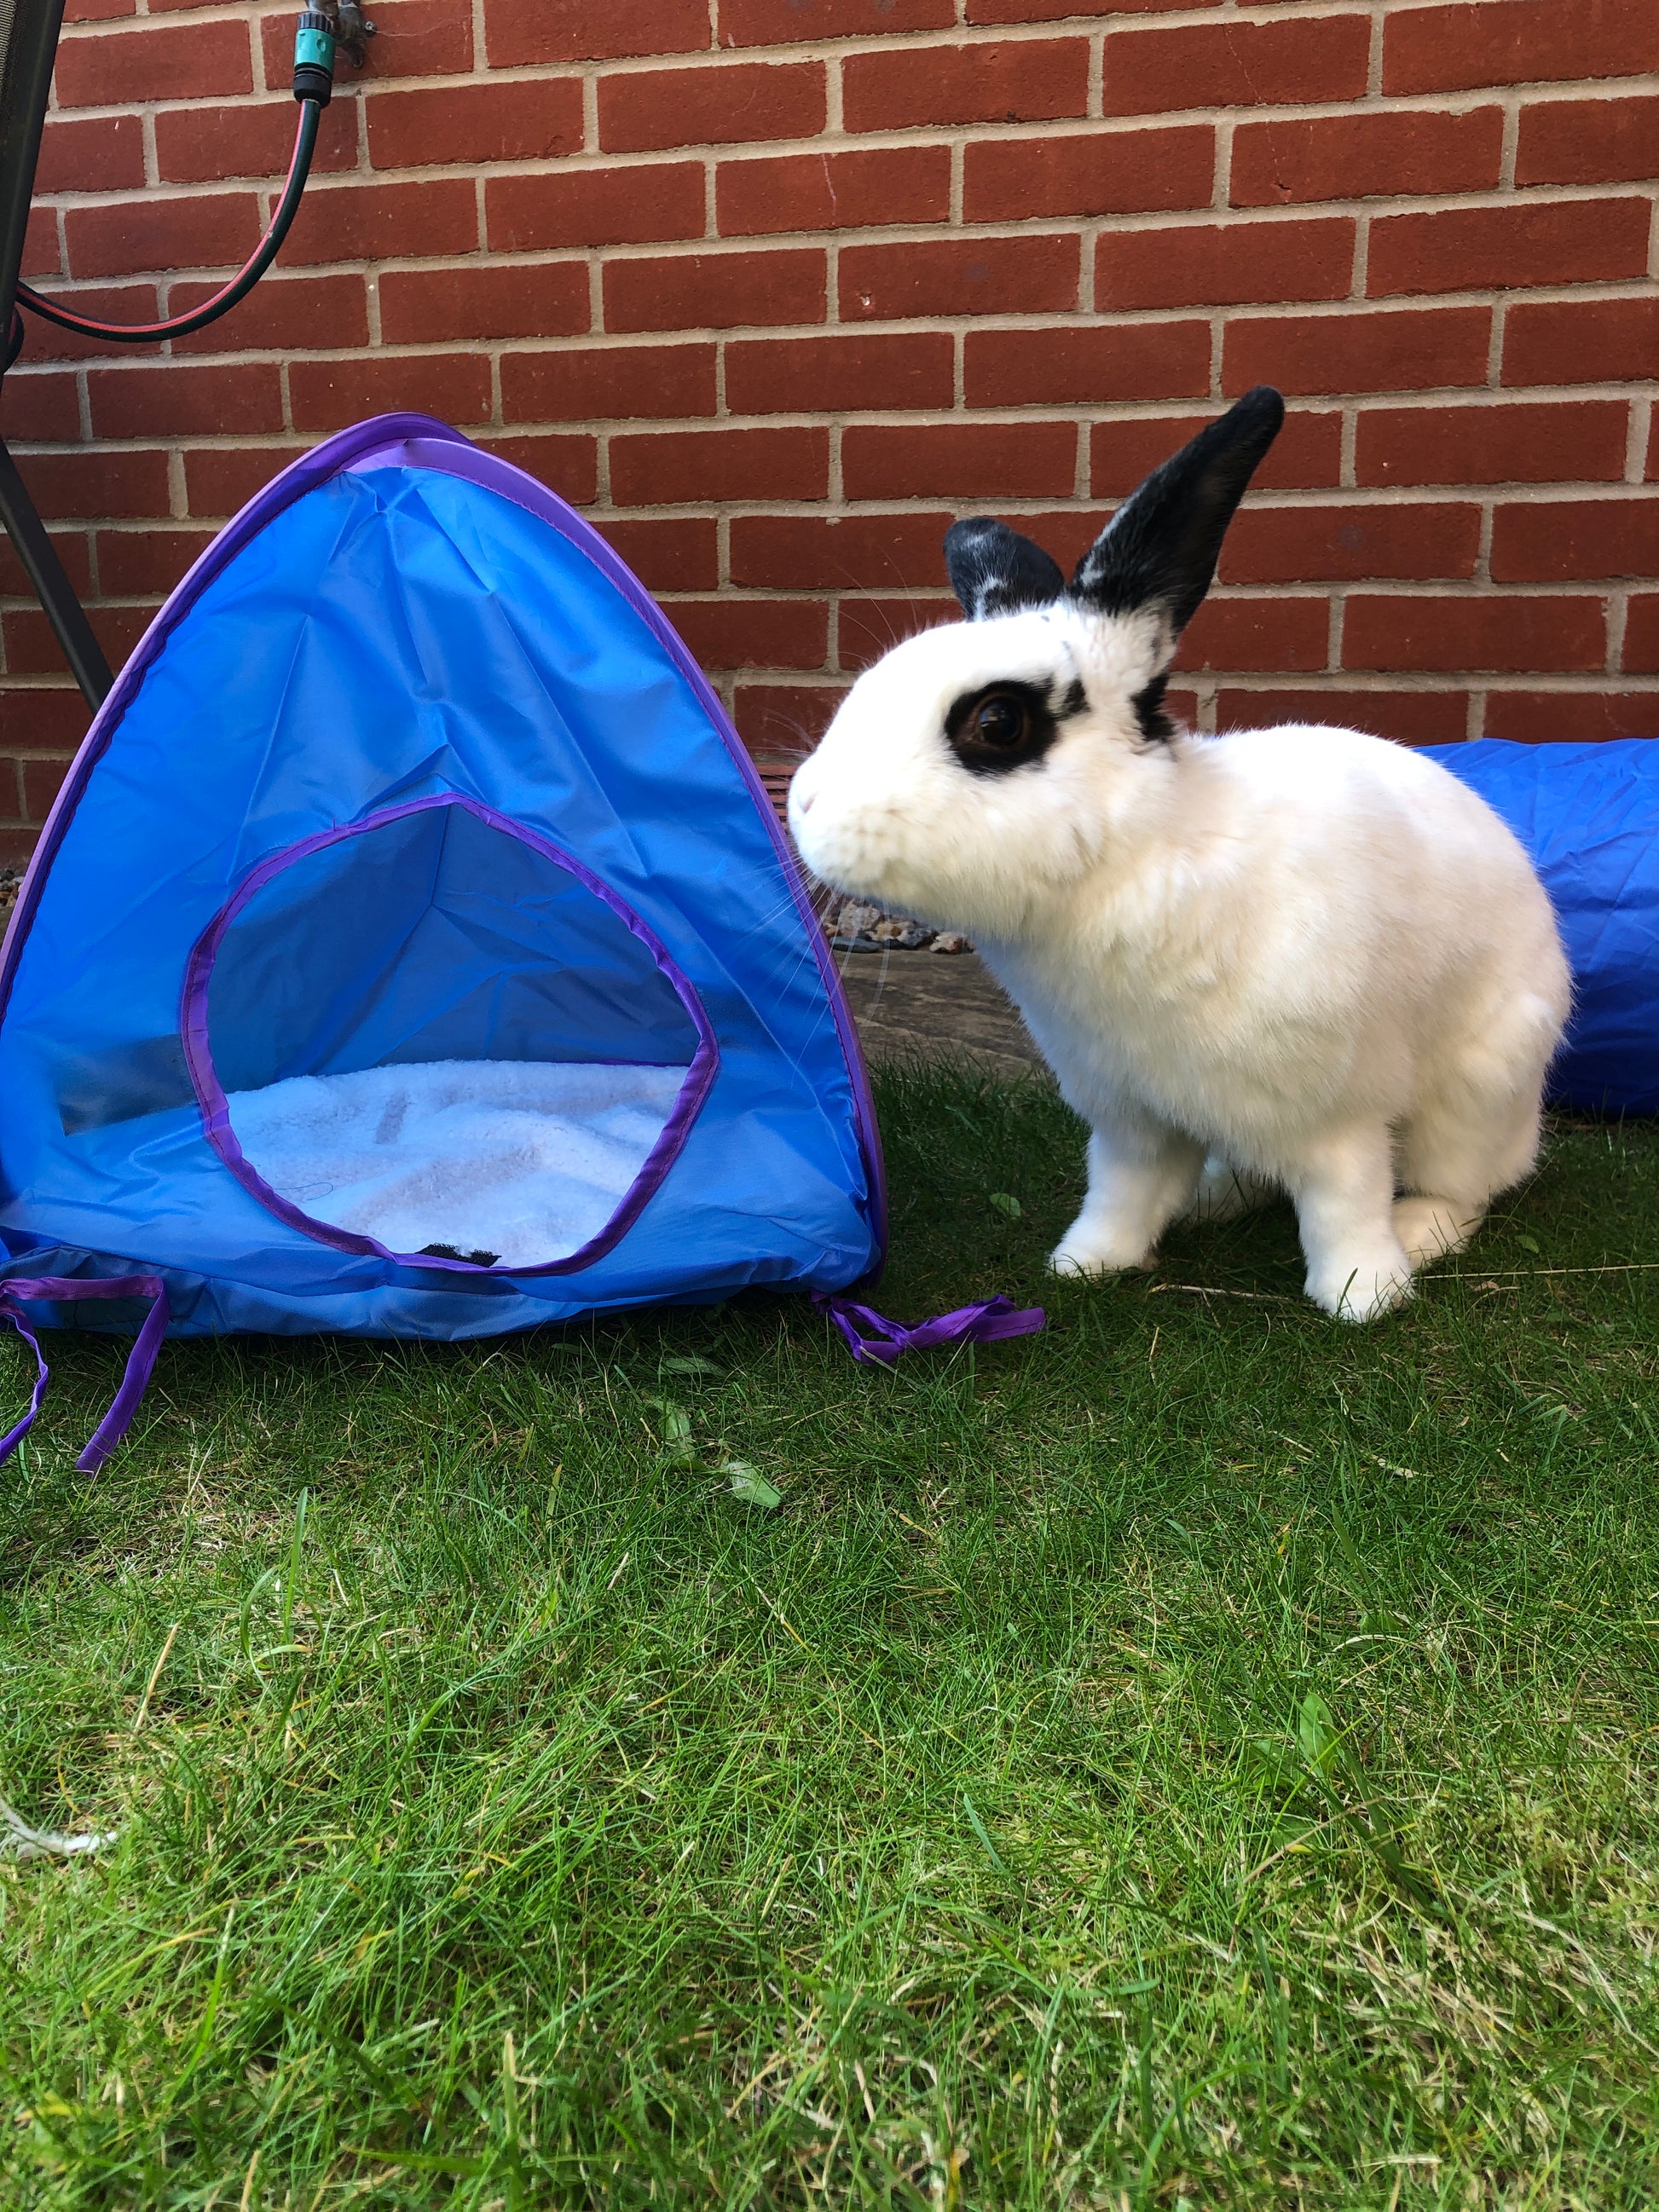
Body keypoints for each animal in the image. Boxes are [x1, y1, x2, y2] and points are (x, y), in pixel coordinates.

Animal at [791, 382, 1575, 1318]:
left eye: (997, 721)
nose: (802, 807)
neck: (1127, 857)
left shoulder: (1336, 1116)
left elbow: (1343, 1202)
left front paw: (1361, 1296)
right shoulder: (1130, 1118)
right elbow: (1120, 1193)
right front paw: (1086, 1264)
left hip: (1475, 1092)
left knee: (1463, 1186)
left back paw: (1417, 1234)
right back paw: (1210, 1200)